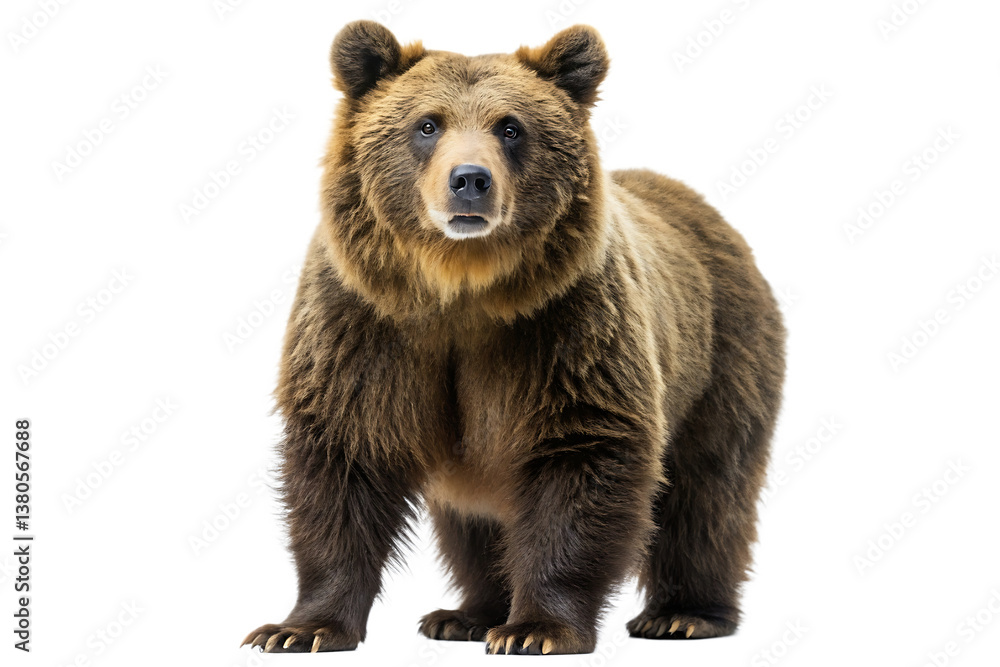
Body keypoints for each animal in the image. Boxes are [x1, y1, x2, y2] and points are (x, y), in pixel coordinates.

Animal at [242, 20, 785, 655]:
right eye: (427, 124)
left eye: (510, 127)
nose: (469, 181)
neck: (460, 289)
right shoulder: (365, 325)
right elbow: (343, 458)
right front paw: (298, 628)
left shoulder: (564, 329)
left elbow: (580, 455)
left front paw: (537, 629)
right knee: (472, 517)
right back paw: (466, 614)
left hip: (722, 355)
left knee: (707, 491)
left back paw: (683, 614)